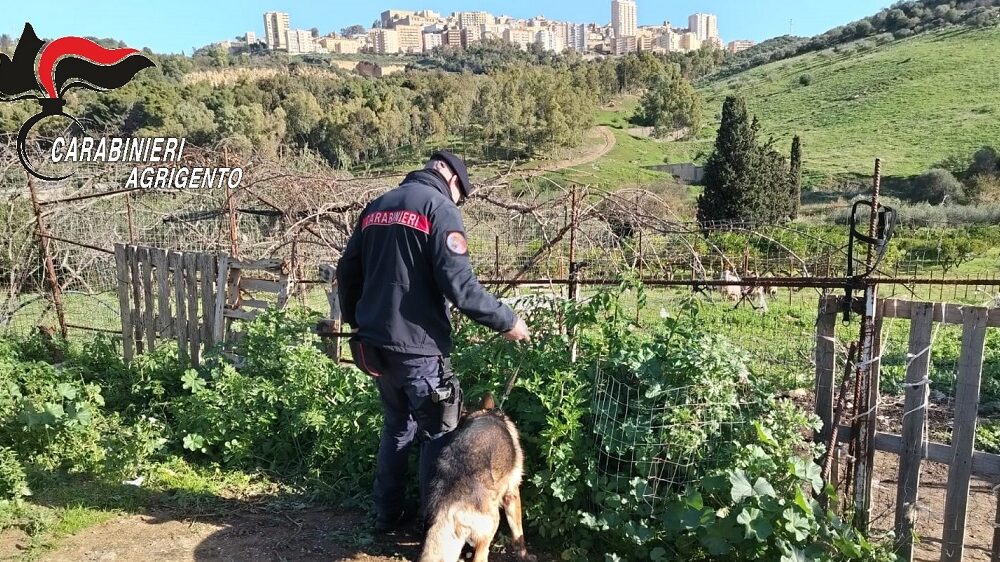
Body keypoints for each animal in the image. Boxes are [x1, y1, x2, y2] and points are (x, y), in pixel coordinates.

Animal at [418, 390, 536, 560]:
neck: (485, 414)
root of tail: (448, 506)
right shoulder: (512, 493)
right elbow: (518, 533)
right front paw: (525, 556)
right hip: (493, 523)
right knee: (480, 556)